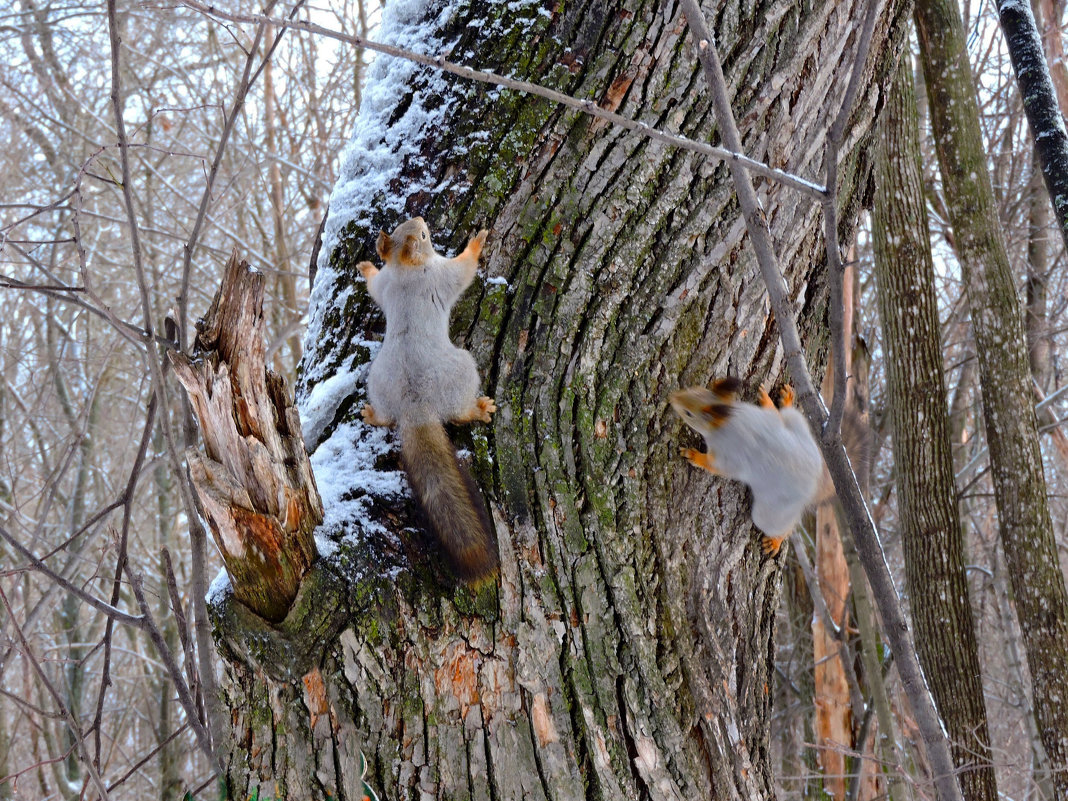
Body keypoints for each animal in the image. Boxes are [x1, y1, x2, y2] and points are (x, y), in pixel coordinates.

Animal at [354, 216, 495, 585]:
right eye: (424, 235)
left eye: (405, 226)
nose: (421, 219)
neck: (405, 270)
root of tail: (414, 408)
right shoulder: (441, 275)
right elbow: (464, 269)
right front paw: (477, 243)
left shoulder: (386, 283)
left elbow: (375, 285)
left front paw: (366, 267)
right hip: (462, 370)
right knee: (458, 414)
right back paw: (478, 409)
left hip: (377, 382)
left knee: (386, 416)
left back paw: (373, 415)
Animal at [674, 378, 867, 559]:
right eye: (695, 389)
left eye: (689, 414)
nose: (672, 398)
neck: (728, 419)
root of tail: (817, 480)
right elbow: (773, 416)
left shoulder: (729, 454)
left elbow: (717, 466)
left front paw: (694, 456)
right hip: (799, 426)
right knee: (787, 416)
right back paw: (787, 400)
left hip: (770, 512)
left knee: (781, 525)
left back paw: (776, 540)